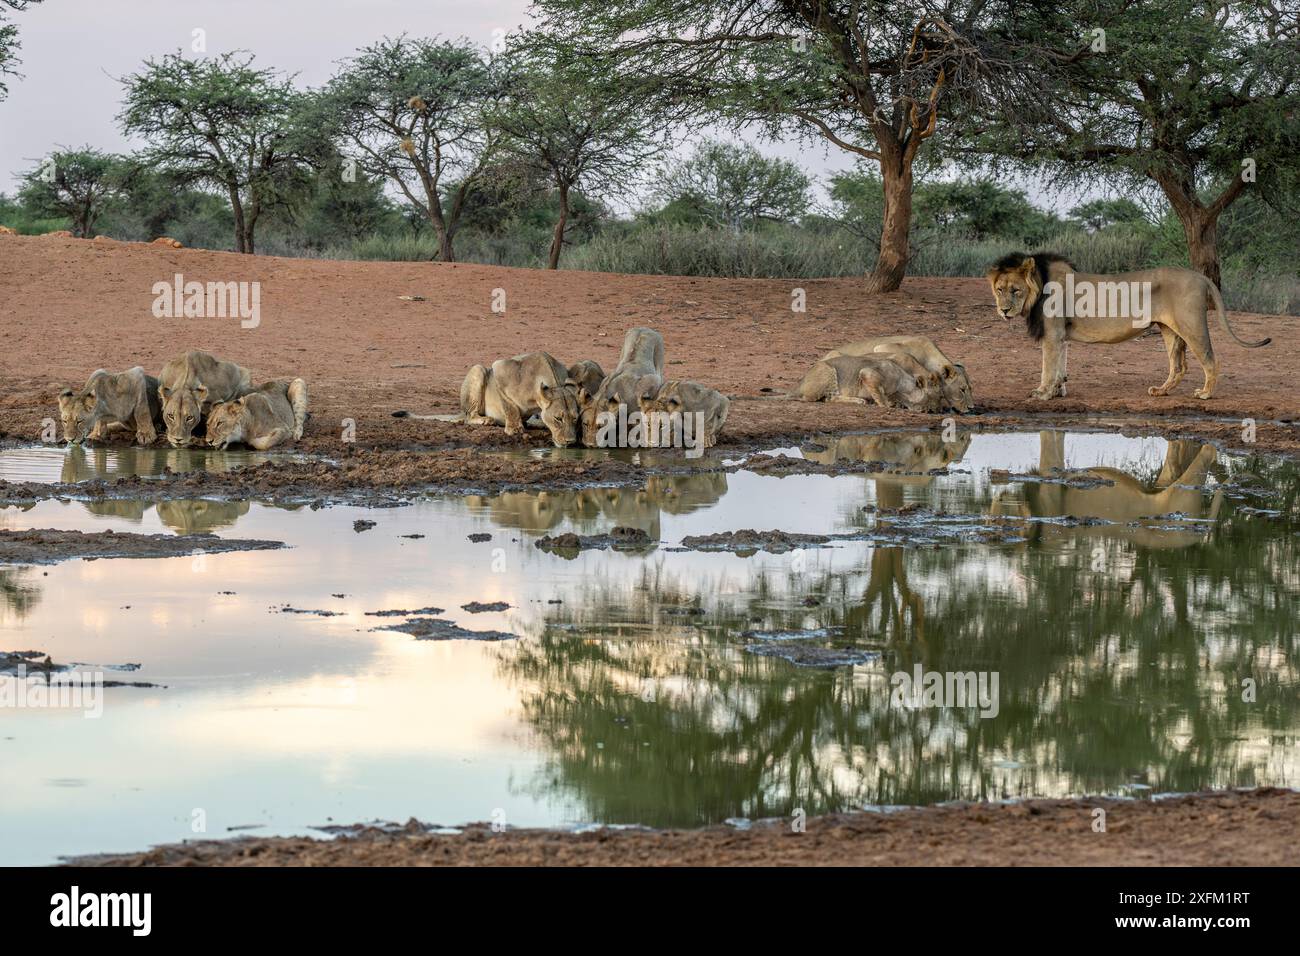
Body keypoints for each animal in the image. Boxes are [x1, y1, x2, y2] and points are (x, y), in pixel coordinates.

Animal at [987, 251, 1263, 400]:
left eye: (1015, 290)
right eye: (999, 290)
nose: (1004, 310)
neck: (1039, 286)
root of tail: (1202, 276)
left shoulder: (1052, 334)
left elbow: (1048, 367)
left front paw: (1043, 393)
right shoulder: (1061, 335)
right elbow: (1060, 367)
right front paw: (1057, 392)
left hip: (1191, 326)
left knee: (1210, 359)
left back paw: (1205, 394)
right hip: (1170, 330)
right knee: (1179, 366)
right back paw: (1161, 391)